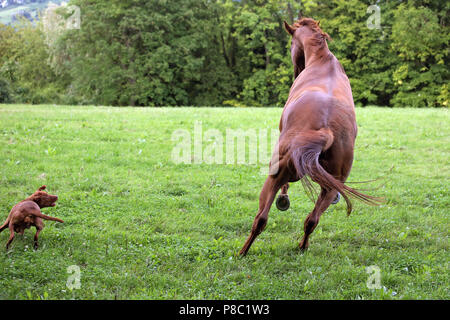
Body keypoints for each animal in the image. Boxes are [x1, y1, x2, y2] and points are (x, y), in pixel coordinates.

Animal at [239, 18, 380, 256]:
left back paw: (242, 251)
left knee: (261, 219)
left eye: (291, 44)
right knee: (312, 220)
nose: (296, 71)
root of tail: (325, 130)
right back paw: (302, 246)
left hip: (274, 176)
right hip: (331, 188)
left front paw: (283, 199)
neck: (323, 62)